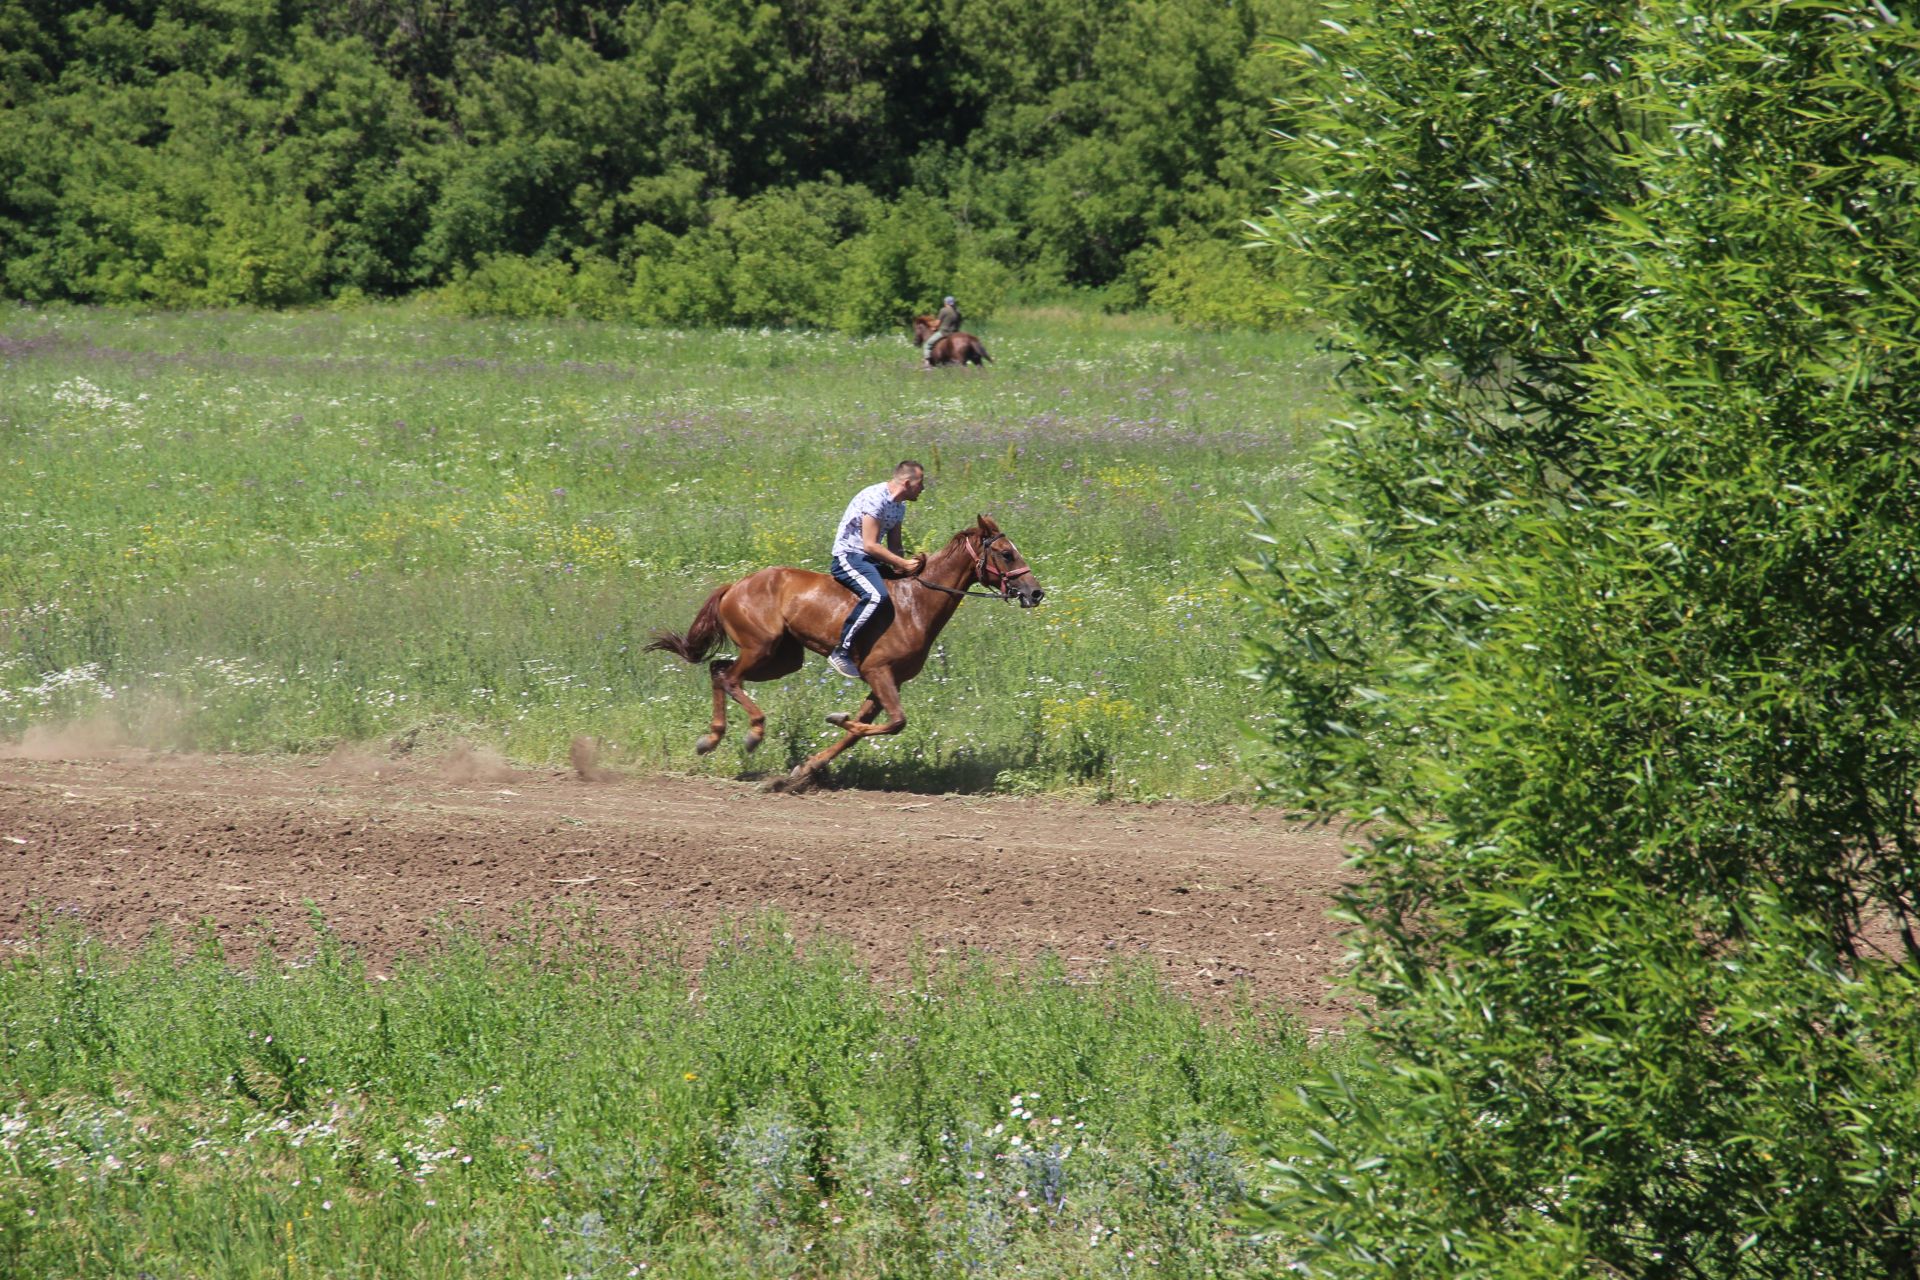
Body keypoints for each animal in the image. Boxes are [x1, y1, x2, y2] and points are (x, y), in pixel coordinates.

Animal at [645, 514, 1044, 786]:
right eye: (1006, 554)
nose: (1035, 592)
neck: (917, 601)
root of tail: (735, 585)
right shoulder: (878, 672)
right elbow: (895, 723)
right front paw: (834, 719)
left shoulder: (887, 682)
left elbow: (863, 730)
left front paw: (806, 768)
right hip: (762, 648)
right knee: (729, 677)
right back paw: (753, 732)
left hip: (783, 659)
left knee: (718, 671)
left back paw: (709, 739)